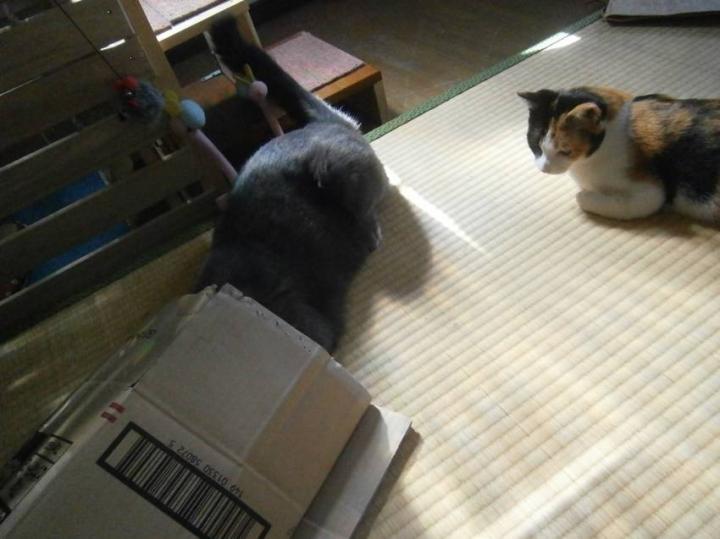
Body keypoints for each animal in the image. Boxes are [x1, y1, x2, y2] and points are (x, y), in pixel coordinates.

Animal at [519, 86, 720, 222]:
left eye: (565, 151)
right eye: (536, 145)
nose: (544, 169)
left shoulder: (651, 193)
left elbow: (583, 198)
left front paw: (585, 195)